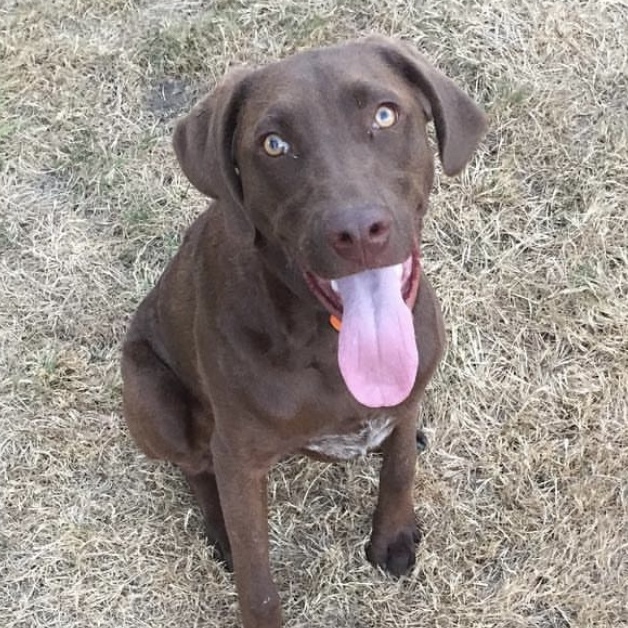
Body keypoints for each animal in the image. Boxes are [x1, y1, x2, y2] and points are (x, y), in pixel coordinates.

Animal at [121, 35, 486, 628]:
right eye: (274, 145)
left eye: (385, 115)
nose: (357, 231)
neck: (327, 341)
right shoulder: (240, 457)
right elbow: (256, 576)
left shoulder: (410, 391)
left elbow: (400, 465)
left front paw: (392, 533)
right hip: (152, 395)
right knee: (195, 466)